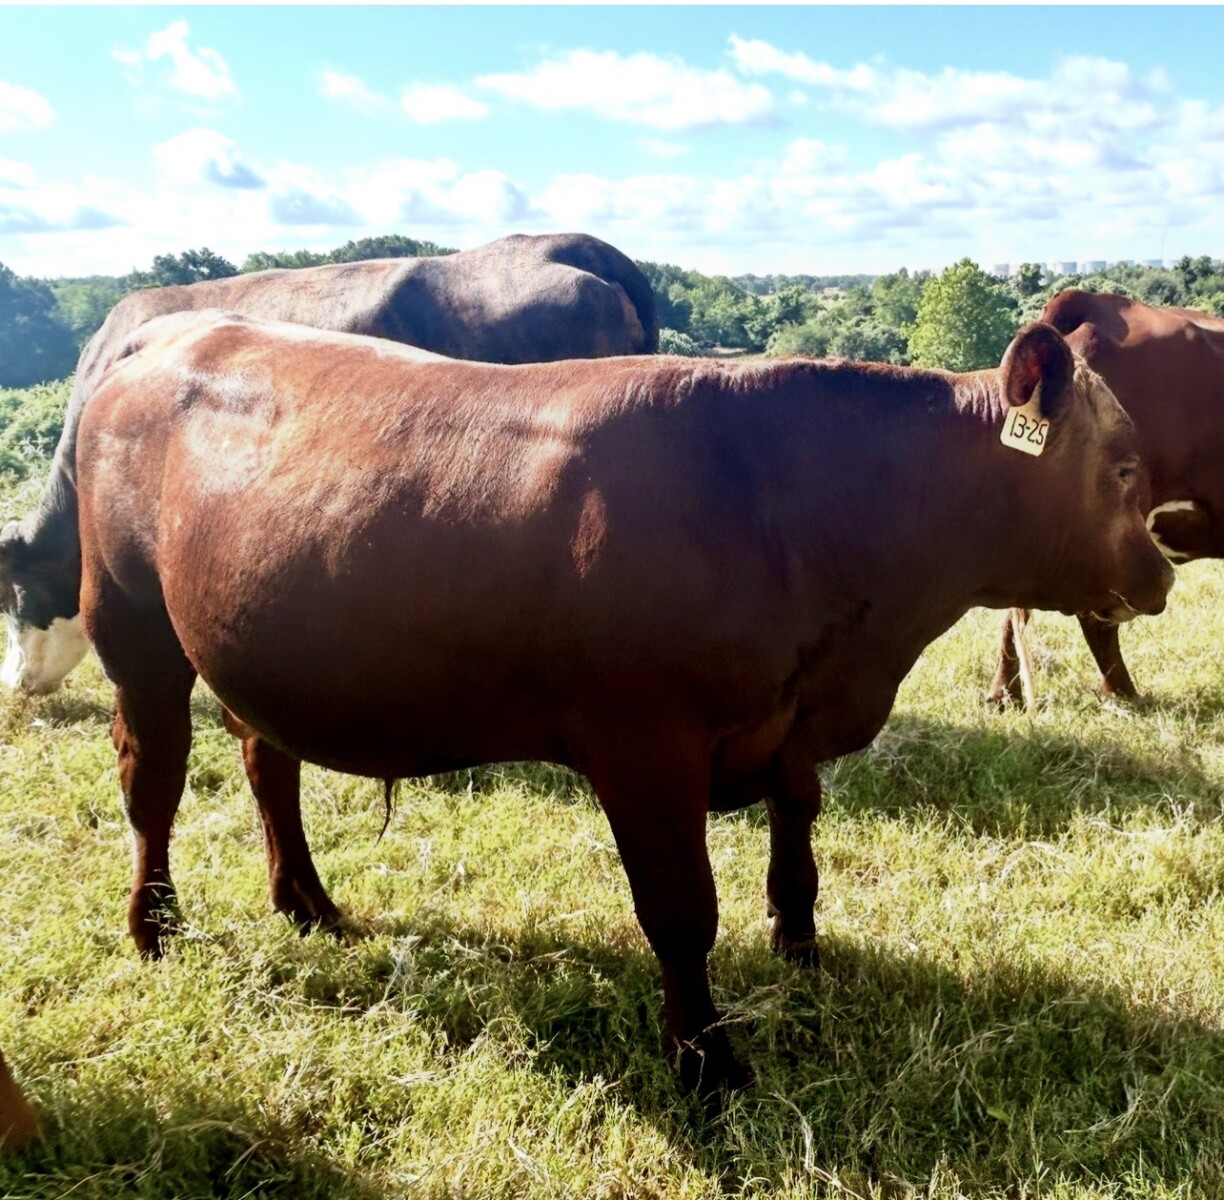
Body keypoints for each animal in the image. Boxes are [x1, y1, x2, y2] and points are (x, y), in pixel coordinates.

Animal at [75, 311, 1171, 1094]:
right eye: (1122, 467)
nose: (1161, 574)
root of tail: (165, 338)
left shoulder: (791, 725)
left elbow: (797, 863)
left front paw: (805, 962)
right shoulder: (646, 746)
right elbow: (682, 913)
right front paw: (706, 1066)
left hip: (254, 655)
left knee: (269, 764)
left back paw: (307, 904)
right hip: (133, 632)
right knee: (153, 779)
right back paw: (154, 928)